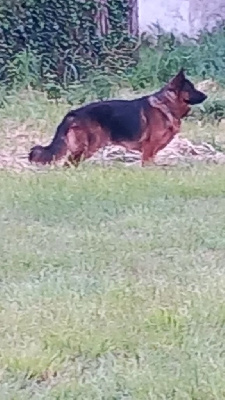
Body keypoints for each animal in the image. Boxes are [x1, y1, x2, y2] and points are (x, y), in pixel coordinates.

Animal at [28, 69, 207, 166]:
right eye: (191, 88)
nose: (206, 95)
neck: (166, 105)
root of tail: (73, 113)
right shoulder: (148, 151)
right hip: (88, 147)